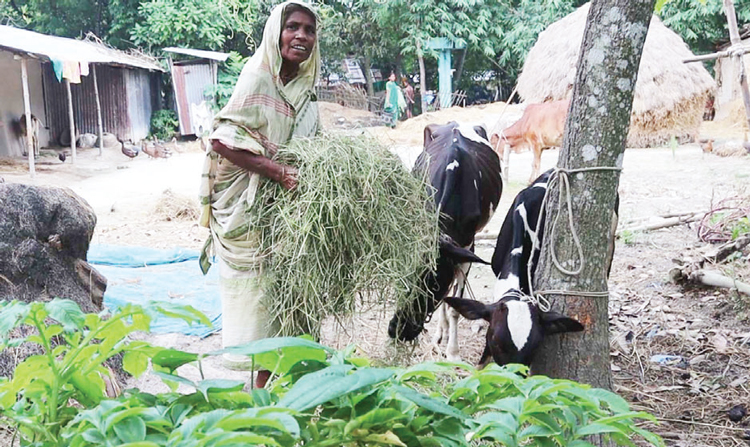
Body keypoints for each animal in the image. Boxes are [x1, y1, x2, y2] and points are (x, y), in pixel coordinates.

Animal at [388, 120, 506, 360]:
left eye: (431, 285)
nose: (395, 330)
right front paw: (439, 337)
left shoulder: (467, 246)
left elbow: (455, 307)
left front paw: (453, 353)